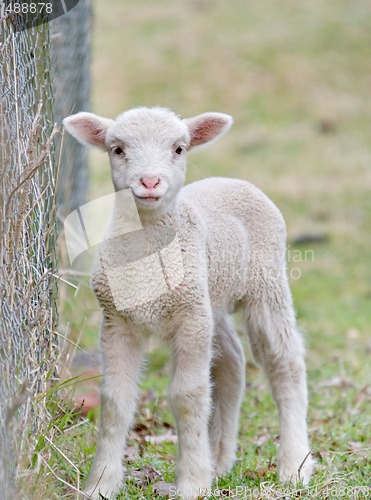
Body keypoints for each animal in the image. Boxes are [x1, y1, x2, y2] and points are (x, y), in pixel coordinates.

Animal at [63, 107, 314, 498]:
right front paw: (100, 484)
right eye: (117, 149)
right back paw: (219, 461)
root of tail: (232, 181)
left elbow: (187, 396)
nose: (150, 182)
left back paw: (293, 466)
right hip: (212, 297)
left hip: (265, 284)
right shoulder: (117, 320)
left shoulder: (191, 318)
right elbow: (115, 400)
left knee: (284, 363)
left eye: (179, 149)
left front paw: (192, 483)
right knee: (231, 362)